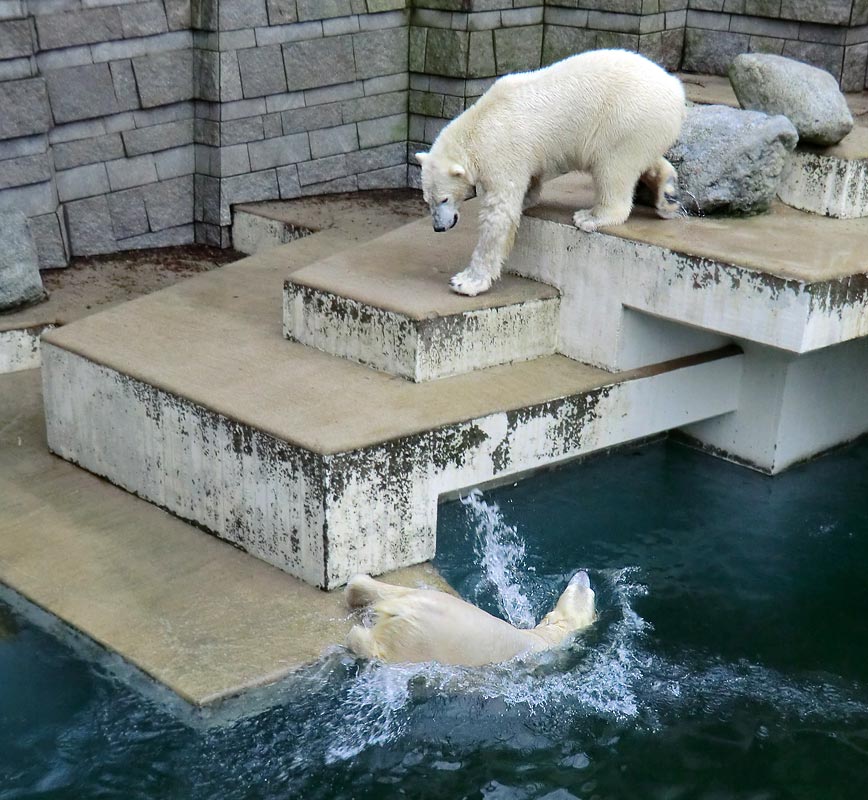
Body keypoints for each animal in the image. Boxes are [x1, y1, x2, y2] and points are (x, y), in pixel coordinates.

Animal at [346, 572, 596, 664]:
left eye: (587, 591)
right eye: (592, 594)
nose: (582, 573)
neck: (551, 633)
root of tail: (403, 608)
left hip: (420, 595)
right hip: (417, 641)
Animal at [416, 51, 684, 298]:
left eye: (444, 199)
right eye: (427, 201)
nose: (438, 227)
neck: (478, 125)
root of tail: (677, 91)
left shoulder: (502, 152)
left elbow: (499, 213)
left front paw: (466, 282)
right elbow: (529, 184)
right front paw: (528, 197)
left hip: (625, 120)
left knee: (613, 168)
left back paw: (591, 217)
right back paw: (668, 193)